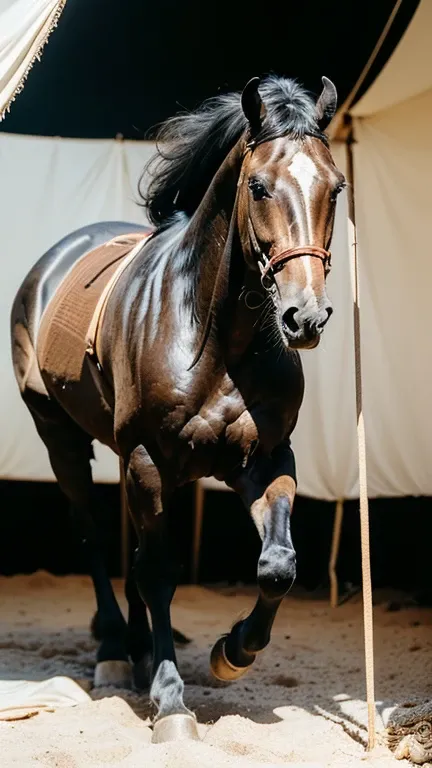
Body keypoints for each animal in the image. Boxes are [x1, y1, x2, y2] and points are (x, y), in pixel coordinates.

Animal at [11, 75, 344, 740]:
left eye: (336, 186)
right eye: (258, 185)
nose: (306, 317)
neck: (214, 338)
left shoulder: (265, 458)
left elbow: (278, 564)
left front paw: (232, 652)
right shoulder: (147, 457)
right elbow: (159, 571)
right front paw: (170, 703)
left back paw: (140, 647)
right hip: (61, 437)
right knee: (95, 538)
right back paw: (116, 652)